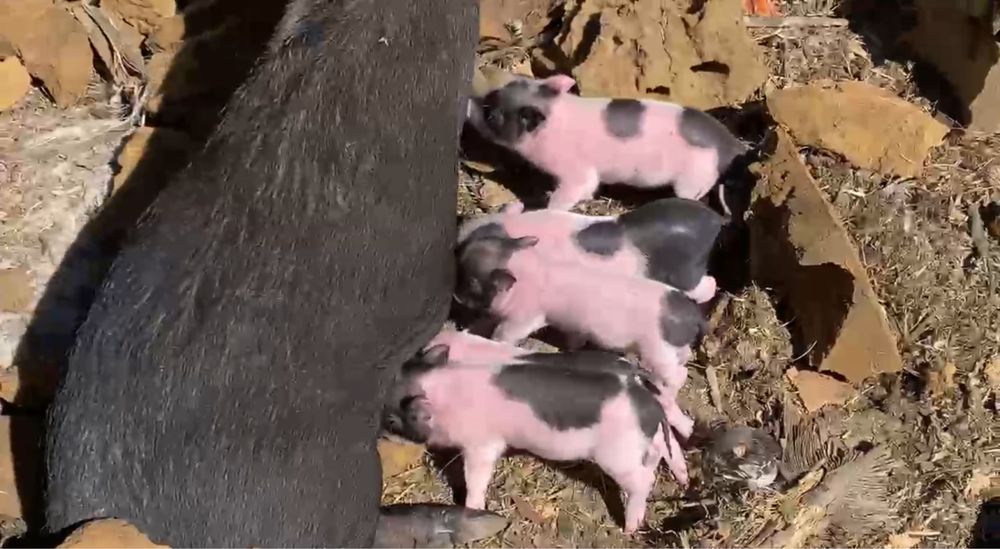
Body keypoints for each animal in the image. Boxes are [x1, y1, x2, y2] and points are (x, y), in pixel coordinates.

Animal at [382, 344, 677, 534]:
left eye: (392, 420)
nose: (382, 433)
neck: (446, 395)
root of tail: (648, 403)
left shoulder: (482, 443)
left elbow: (476, 477)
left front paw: (473, 506)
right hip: (641, 445)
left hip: (618, 456)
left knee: (642, 481)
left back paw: (629, 528)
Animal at [454, 234, 707, 397]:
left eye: (472, 281)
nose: (455, 297)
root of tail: (694, 314)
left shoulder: (526, 317)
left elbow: (505, 333)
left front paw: (494, 340)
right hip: (674, 347)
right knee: (684, 357)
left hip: (657, 351)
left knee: (679, 374)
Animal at [465, 74, 749, 212]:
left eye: (491, 115)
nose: (468, 101)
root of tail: (730, 144)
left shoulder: (576, 173)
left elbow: (570, 194)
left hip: (692, 181)